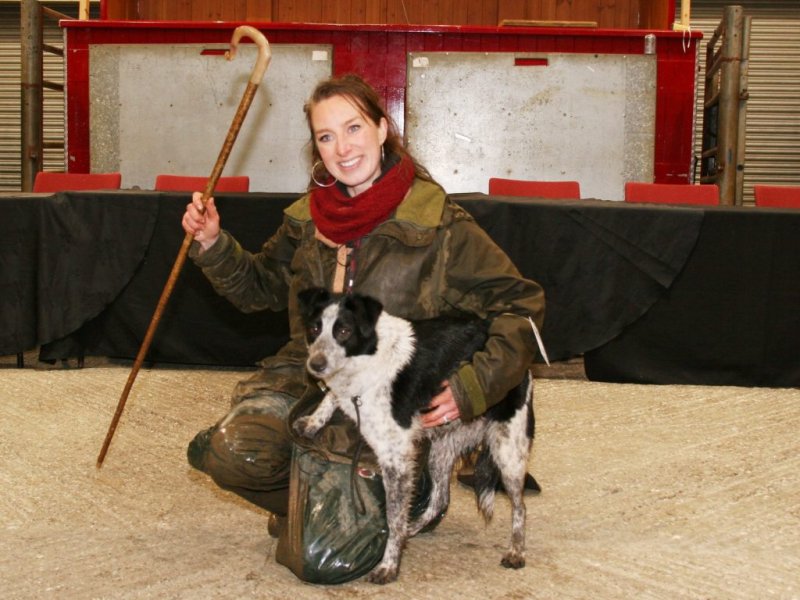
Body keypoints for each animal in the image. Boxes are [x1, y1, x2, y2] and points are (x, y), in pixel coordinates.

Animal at [290, 288, 536, 584]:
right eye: (315, 328)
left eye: (344, 331)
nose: (315, 365)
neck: (369, 357)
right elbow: (331, 395)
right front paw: (314, 421)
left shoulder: (395, 457)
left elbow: (394, 519)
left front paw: (389, 566)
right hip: (442, 450)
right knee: (441, 498)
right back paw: (414, 528)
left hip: (508, 451)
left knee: (520, 507)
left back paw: (517, 551)